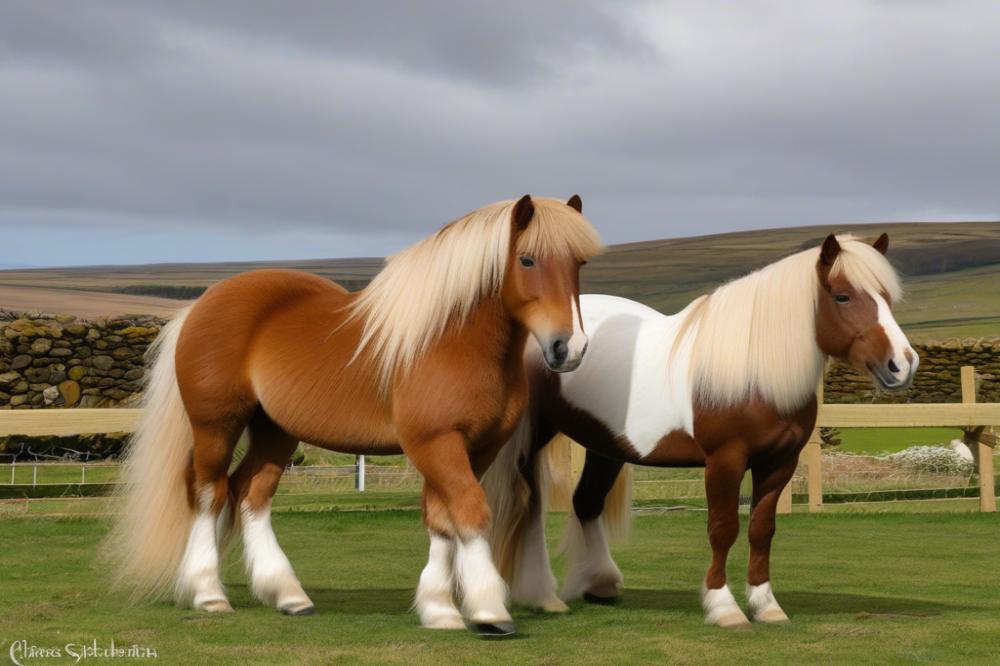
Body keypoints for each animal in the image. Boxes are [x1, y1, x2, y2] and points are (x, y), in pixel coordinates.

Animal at [105, 193, 600, 632]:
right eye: (528, 261)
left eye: (579, 263)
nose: (568, 348)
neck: (449, 341)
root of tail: (198, 306)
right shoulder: (435, 444)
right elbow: (471, 511)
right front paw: (487, 611)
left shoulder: (476, 448)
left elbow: (443, 518)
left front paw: (439, 609)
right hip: (217, 425)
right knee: (209, 491)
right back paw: (209, 594)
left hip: (275, 431)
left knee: (251, 493)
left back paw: (288, 595)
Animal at [480, 235, 916, 628]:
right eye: (842, 297)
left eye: (885, 297)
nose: (902, 364)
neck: (754, 371)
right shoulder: (724, 461)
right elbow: (723, 529)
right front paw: (725, 608)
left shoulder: (779, 464)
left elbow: (762, 530)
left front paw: (766, 606)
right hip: (530, 439)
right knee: (527, 506)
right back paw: (542, 595)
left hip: (605, 446)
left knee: (586, 502)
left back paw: (600, 583)